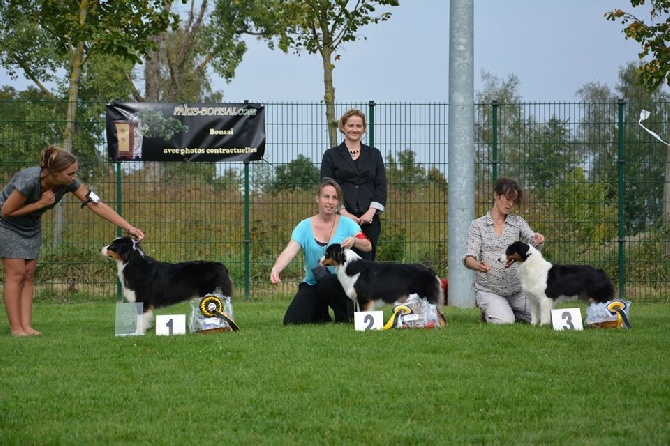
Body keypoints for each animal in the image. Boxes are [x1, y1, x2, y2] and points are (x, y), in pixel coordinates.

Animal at [100, 237, 234, 334]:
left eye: (112, 246)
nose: (99, 249)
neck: (131, 263)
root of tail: (221, 265)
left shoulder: (143, 299)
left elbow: (140, 318)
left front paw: (137, 333)